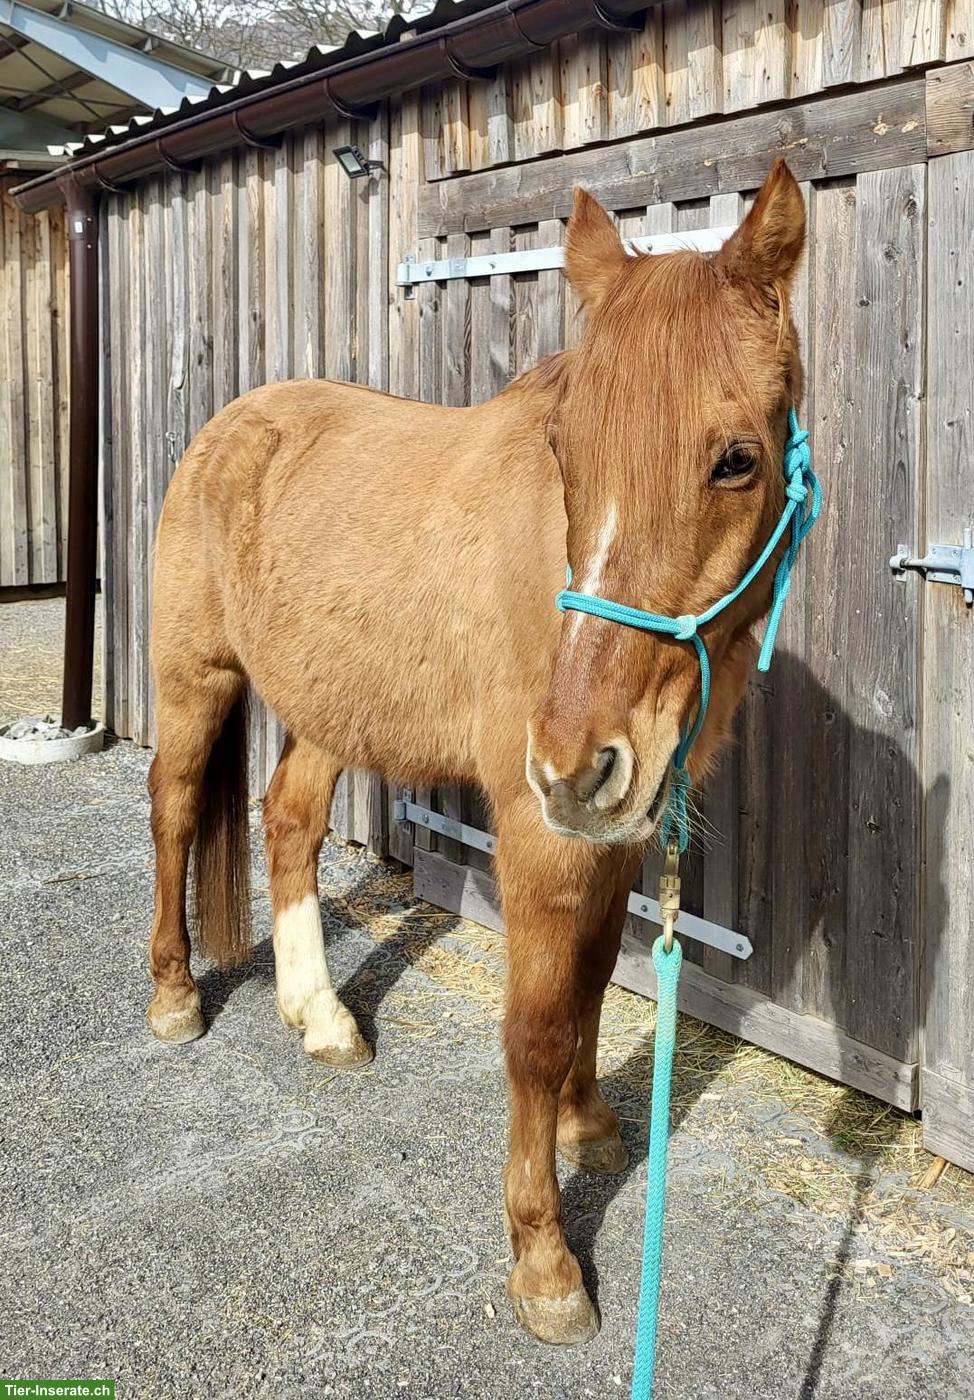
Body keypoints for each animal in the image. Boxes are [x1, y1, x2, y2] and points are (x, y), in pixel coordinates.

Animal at [146, 157, 806, 1345]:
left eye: (737, 458)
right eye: (565, 453)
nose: (575, 757)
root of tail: (233, 424)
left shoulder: (615, 826)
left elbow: (592, 981)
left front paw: (589, 1123)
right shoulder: (539, 830)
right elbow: (537, 1026)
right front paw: (543, 1257)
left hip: (332, 710)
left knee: (289, 821)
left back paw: (321, 1016)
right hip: (196, 680)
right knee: (174, 809)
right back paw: (174, 997)